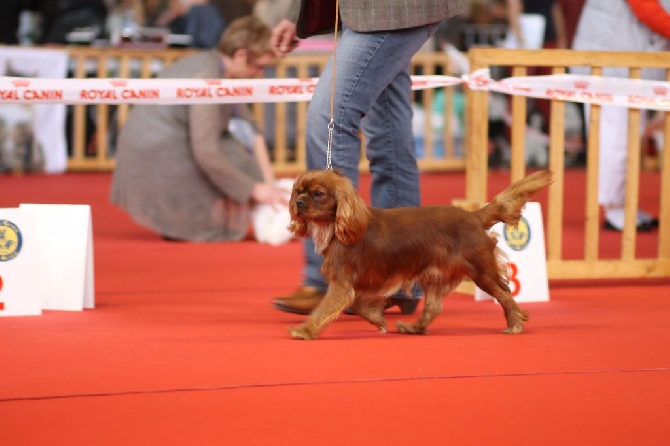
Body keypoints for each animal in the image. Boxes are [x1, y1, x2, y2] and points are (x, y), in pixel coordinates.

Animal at [286, 169, 552, 340]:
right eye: (298, 191)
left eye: (318, 194)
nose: (299, 202)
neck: (338, 226)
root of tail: (474, 216)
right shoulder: (361, 284)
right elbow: (360, 305)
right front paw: (378, 320)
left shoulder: (342, 283)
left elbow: (324, 308)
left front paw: (305, 330)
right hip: (434, 275)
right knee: (433, 307)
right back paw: (414, 328)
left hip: (481, 271)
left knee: (505, 295)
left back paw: (515, 325)